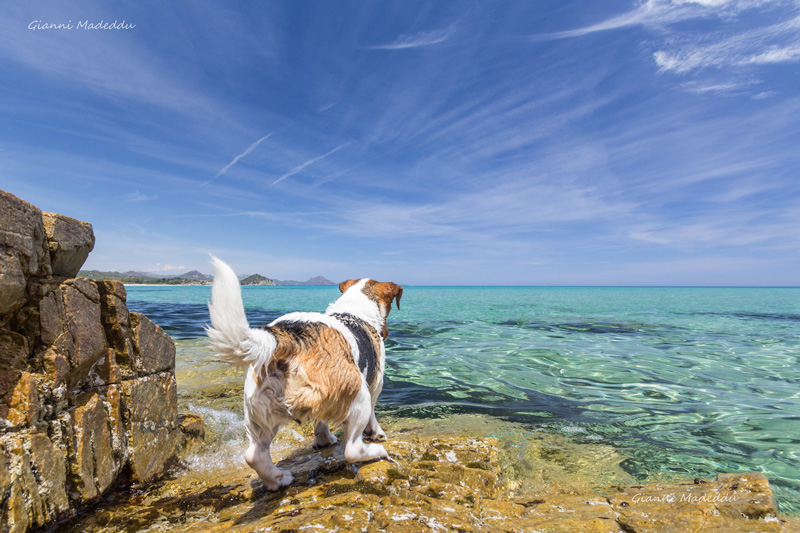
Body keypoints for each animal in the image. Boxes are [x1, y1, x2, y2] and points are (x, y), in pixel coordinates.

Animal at [203, 256, 404, 488]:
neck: (353, 311)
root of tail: (286, 338)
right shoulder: (374, 386)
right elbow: (372, 415)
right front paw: (376, 433)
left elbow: (320, 422)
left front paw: (323, 440)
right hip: (358, 395)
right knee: (353, 450)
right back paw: (377, 451)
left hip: (258, 411)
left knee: (255, 456)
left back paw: (279, 479)